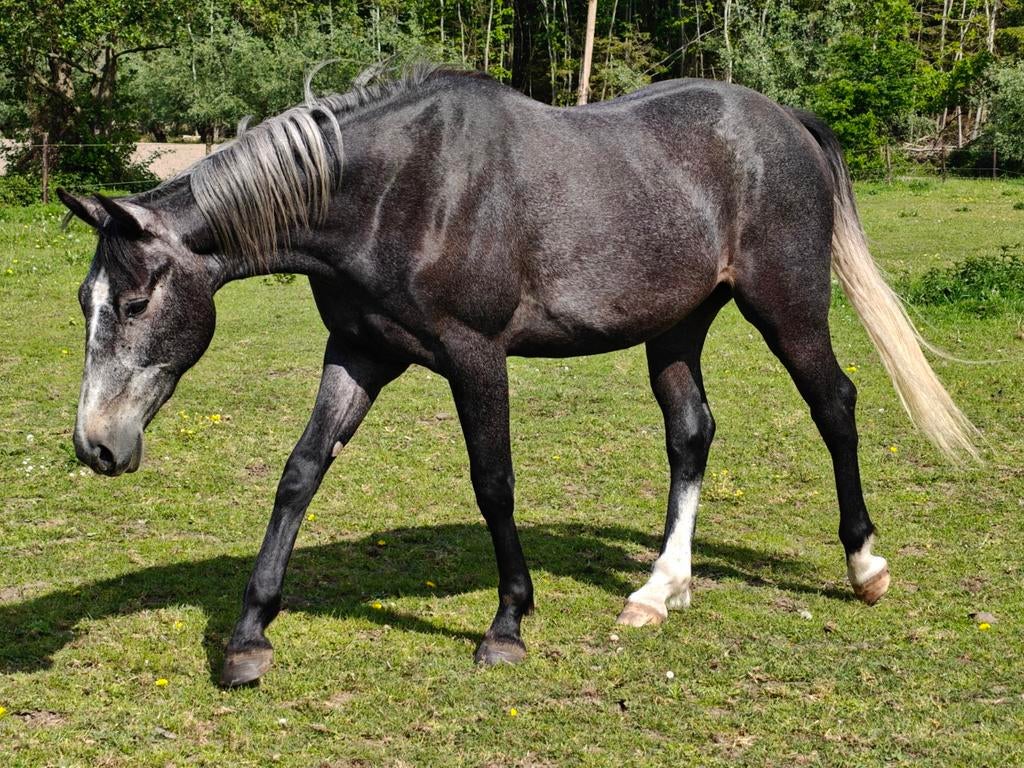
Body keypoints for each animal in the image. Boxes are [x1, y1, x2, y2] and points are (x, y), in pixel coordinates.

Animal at [58, 65, 977, 687]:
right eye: (84, 300)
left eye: (135, 302)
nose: (96, 446)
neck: (394, 190)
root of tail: (781, 118)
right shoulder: (358, 353)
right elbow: (300, 474)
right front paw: (249, 637)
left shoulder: (476, 356)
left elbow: (493, 481)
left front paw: (507, 624)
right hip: (677, 327)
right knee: (692, 435)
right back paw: (658, 589)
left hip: (786, 309)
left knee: (836, 406)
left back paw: (864, 567)